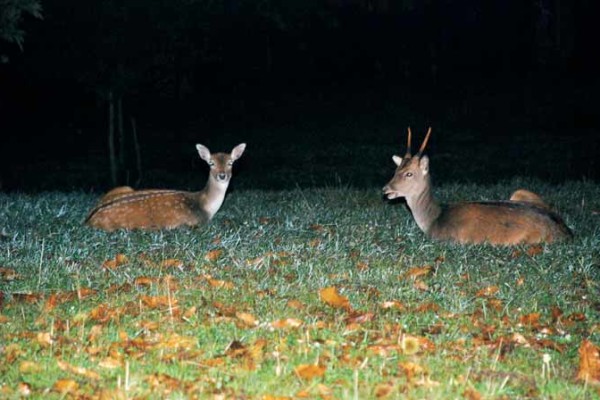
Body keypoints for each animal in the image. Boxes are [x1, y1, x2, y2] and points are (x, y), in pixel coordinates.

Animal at [85, 143, 246, 231]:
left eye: (231, 162)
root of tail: (88, 220)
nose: (222, 175)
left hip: (124, 187)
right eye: (211, 163)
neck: (204, 207)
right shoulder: (191, 223)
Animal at [382, 128, 576, 245]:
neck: (434, 219)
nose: (385, 189)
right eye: (396, 169)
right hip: (520, 192)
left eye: (409, 174)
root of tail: (566, 232)